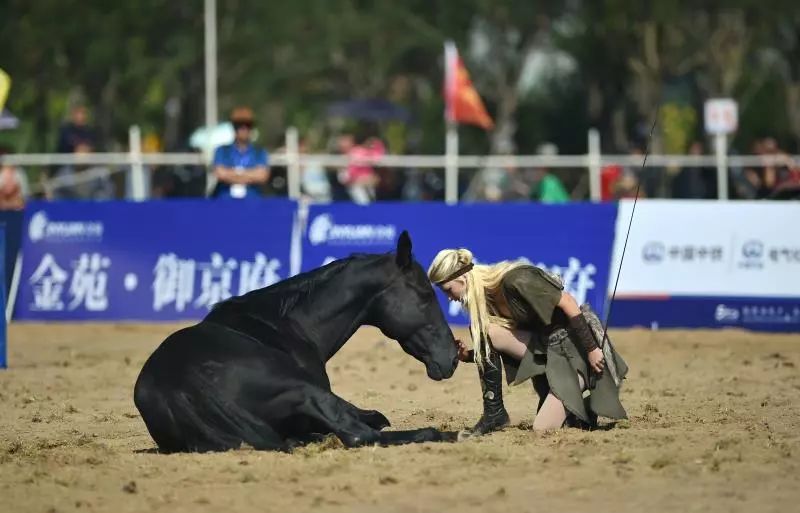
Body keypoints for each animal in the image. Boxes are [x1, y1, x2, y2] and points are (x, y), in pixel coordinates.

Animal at [134, 230, 460, 450]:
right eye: (425, 294)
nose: (452, 356)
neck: (289, 325)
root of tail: (181, 387)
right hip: (306, 392)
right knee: (361, 435)